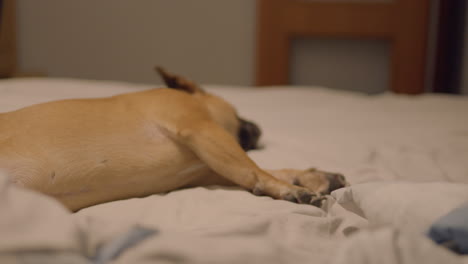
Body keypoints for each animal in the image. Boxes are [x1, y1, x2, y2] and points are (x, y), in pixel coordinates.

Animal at [0, 67, 344, 211]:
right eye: (237, 111)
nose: (259, 128)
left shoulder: (209, 167)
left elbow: (262, 170)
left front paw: (314, 176)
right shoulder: (202, 131)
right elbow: (254, 169)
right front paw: (290, 189)